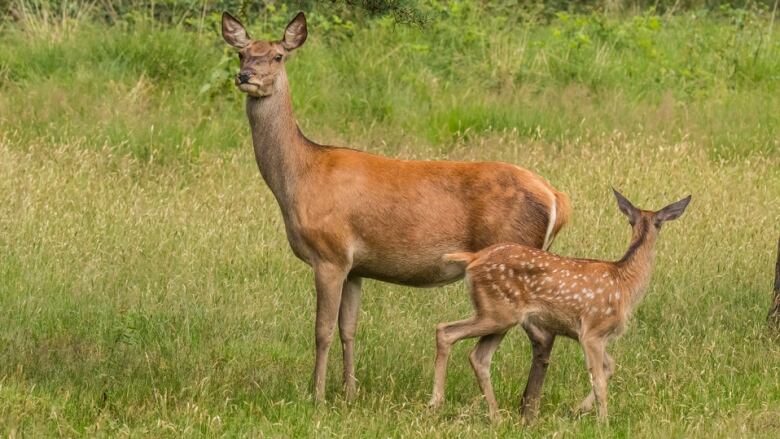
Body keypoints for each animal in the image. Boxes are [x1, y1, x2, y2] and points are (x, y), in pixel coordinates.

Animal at [222, 11, 568, 402]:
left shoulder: (329, 253)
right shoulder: (355, 267)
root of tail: (555, 197)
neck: (301, 175)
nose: (246, 76)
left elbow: (321, 330)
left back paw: (527, 404)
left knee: (542, 334)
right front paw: (350, 392)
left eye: (278, 55)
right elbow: (348, 329)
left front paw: (317, 395)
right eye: (241, 53)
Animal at [430, 190, 692, 422]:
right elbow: (599, 379)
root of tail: (473, 259)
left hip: (499, 314)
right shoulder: (592, 331)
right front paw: (603, 421)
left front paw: (579, 409)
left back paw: (496, 417)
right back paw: (437, 402)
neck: (625, 284)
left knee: (478, 356)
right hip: (498, 312)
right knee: (446, 331)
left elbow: (610, 366)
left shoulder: (587, 335)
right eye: (660, 223)